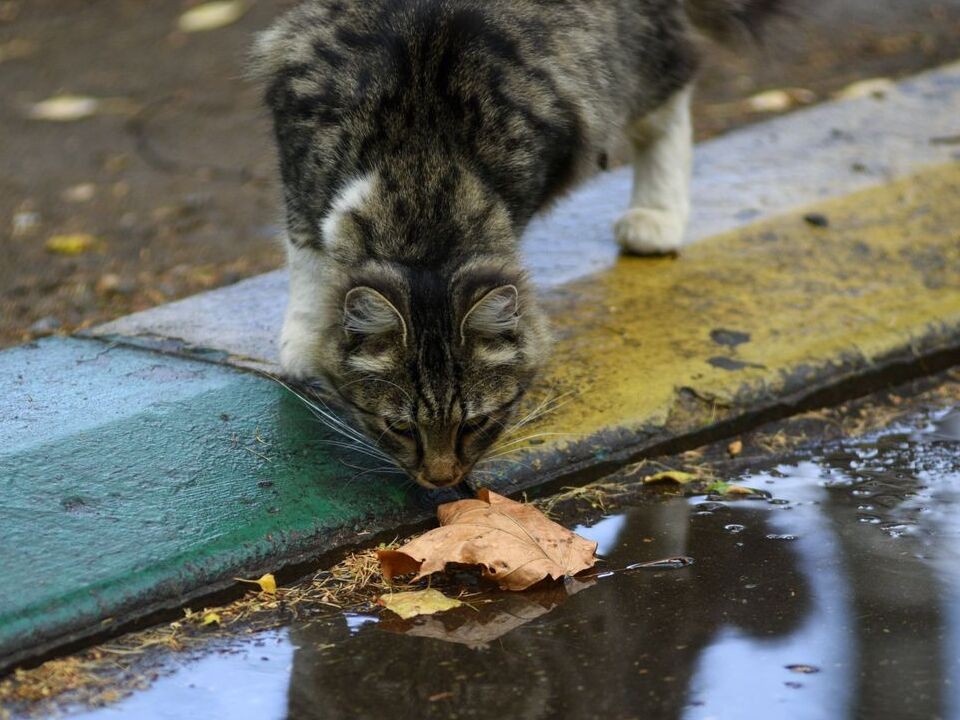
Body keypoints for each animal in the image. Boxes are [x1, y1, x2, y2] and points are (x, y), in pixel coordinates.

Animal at [253, 0, 780, 490]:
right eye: (399, 427)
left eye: (475, 423)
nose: (442, 480)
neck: (421, 177)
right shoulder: (299, 147)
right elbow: (306, 251)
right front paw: (305, 340)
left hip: (638, 56)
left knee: (672, 96)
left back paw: (658, 216)